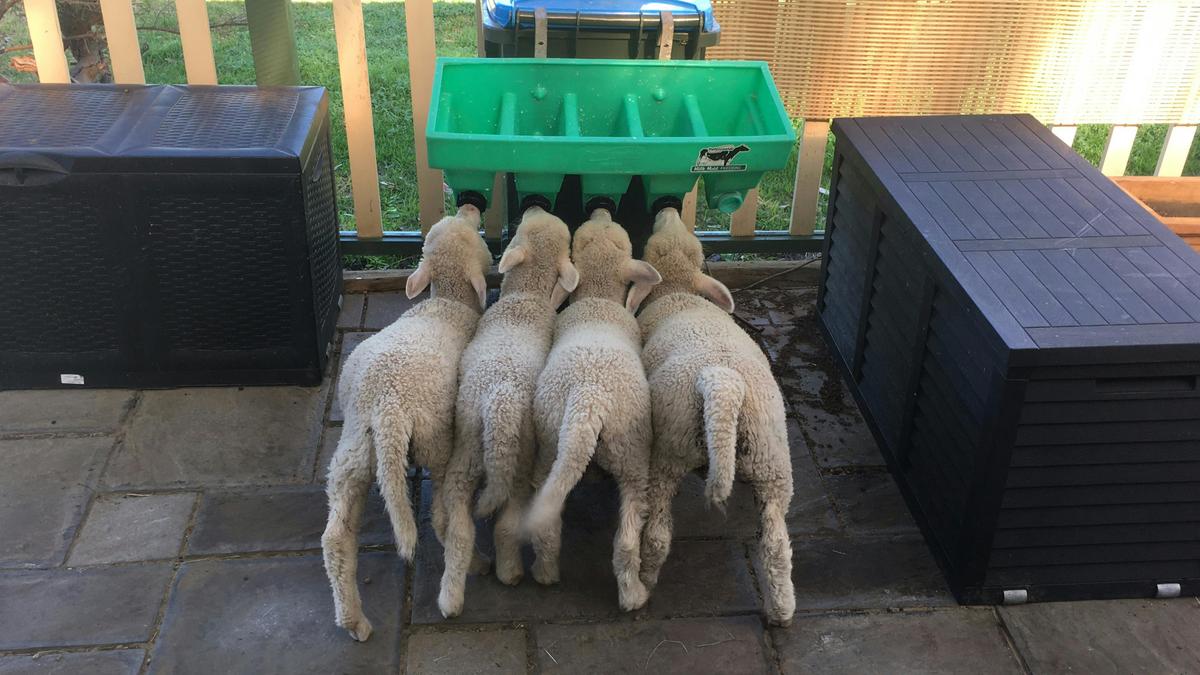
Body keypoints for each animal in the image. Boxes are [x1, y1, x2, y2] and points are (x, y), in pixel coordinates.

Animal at [321, 204, 491, 642]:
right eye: (473, 233)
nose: (469, 207)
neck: (449, 302)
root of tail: (388, 407)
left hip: (352, 451)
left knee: (336, 537)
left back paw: (353, 620)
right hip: (437, 443)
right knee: (444, 517)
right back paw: (473, 565)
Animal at [437, 205, 578, 618]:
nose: (534, 206)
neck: (526, 296)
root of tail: (498, 401)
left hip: (472, 450)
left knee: (461, 526)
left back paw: (453, 596)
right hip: (517, 460)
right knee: (507, 524)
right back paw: (520, 573)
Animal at [524, 209, 662, 611]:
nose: (601, 211)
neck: (599, 298)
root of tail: (588, 402)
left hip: (550, 446)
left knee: (547, 520)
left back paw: (545, 573)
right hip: (632, 455)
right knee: (628, 537)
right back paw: (633, 596)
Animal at [635, 206, 797, 626]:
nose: (668, 210)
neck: (678, 292)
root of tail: (723, 387)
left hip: (669, 452)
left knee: (658, 534)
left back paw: (644, 579)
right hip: (771, 459)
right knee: (777, 545)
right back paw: (781, 611)